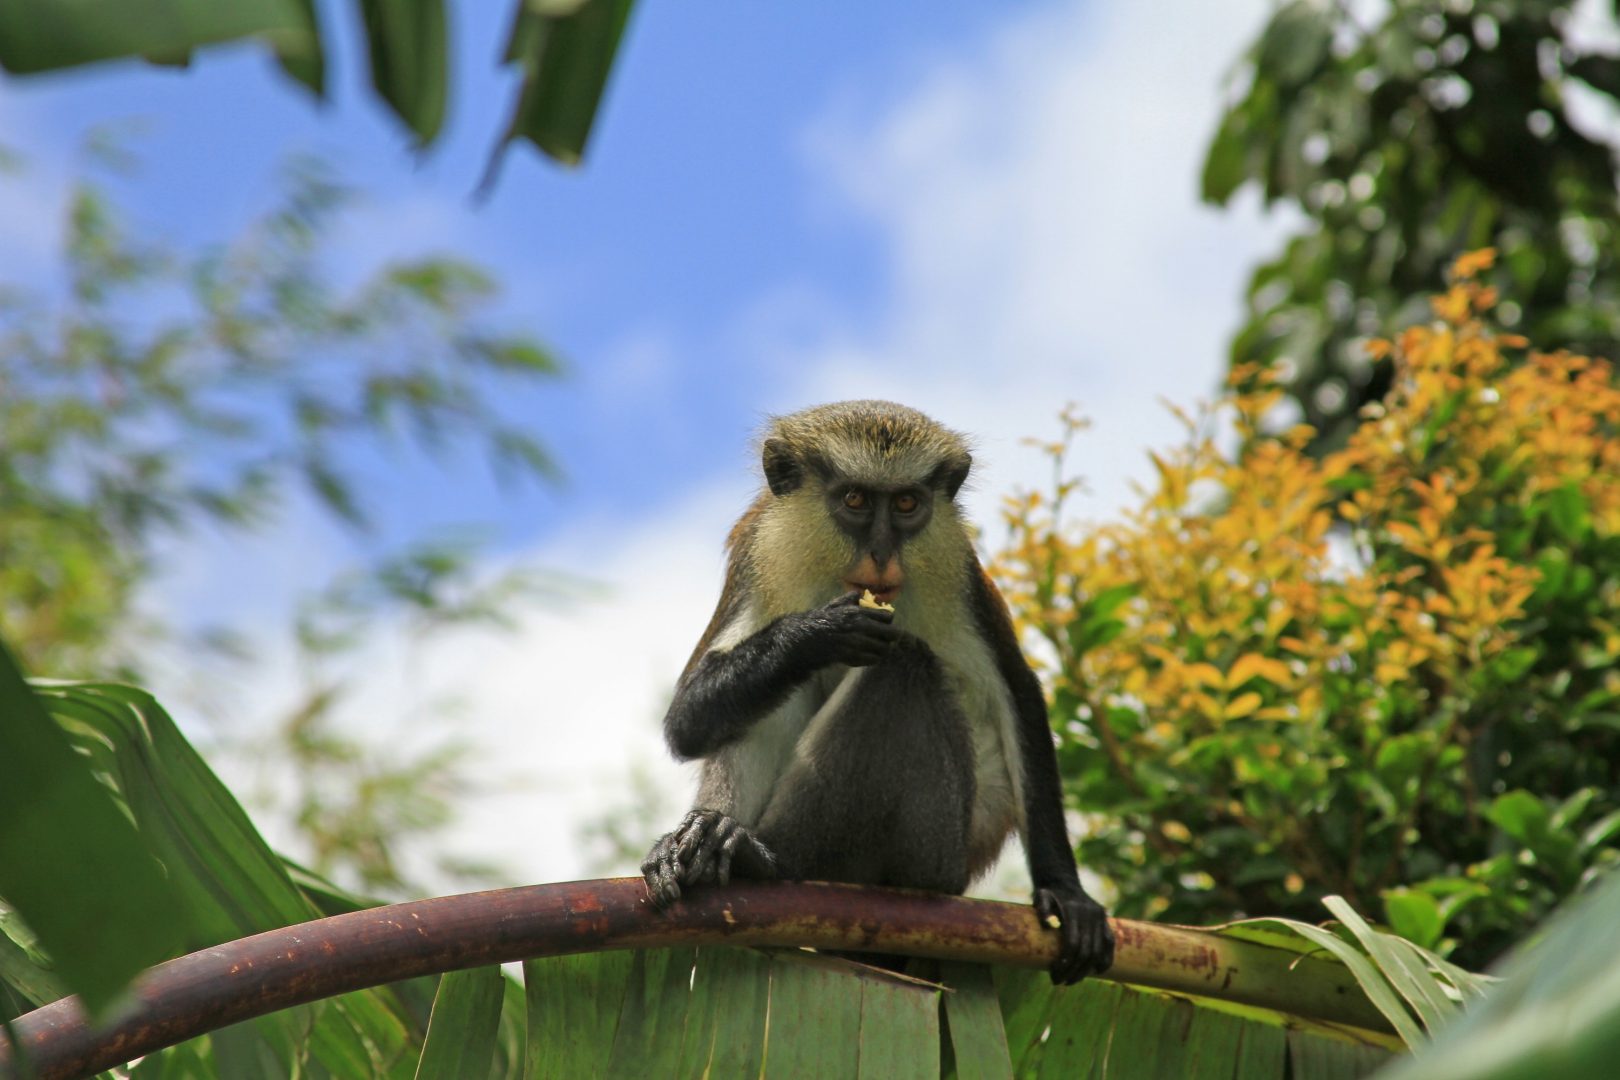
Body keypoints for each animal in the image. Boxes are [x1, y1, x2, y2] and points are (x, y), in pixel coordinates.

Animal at [641, 401, 1114, 984]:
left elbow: (1018, 691)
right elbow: (686, 720)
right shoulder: (753, 560)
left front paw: (1067, 894)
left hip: (937, 846)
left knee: (902, 666)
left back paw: (766, 860)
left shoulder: (962, 576)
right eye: (855, 500)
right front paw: (814, 634)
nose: (883, 554)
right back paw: (711, 843)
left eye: (907, 503)